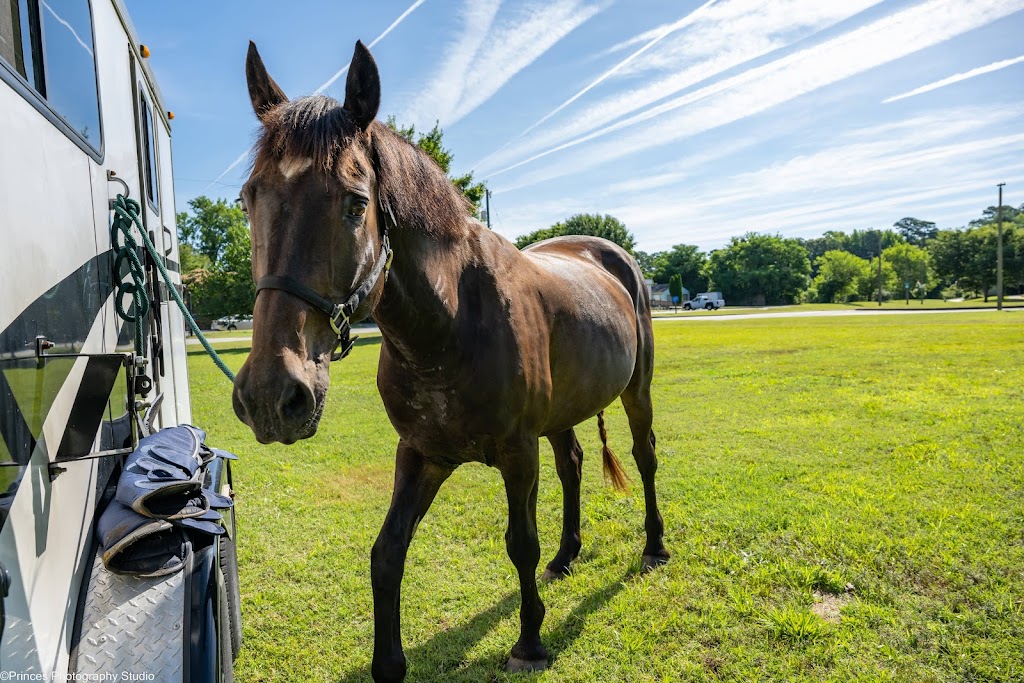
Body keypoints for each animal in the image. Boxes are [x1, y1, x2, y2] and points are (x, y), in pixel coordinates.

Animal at [231, 40, 669, 681]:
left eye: (355, 203)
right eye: (249, 199)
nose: (270, 395)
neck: (450, 327)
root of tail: (610, 253)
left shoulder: (517, 453)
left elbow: (520, 544)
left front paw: (529, 642)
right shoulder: (420, 454)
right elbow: (387, 552)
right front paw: (389, 662)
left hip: (637, 393)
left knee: (644, 458)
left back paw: (654, 547)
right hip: (562, 415)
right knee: (573, 464)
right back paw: (567, 556)